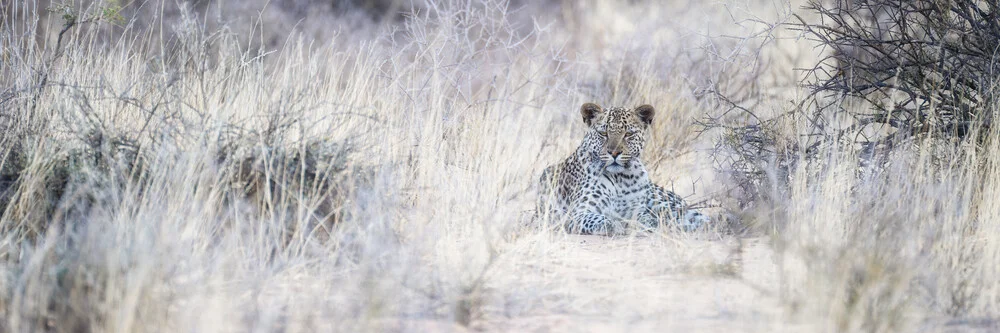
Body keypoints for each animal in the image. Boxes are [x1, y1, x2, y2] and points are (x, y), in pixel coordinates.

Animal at [536, 102, 708, 235]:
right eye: (603, 133)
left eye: (628, 134)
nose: (614, 153)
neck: (620, 179)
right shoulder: (578, 213)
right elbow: (601, 219)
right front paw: (617, 225)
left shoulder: (638, 209)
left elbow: (646, 218)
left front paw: (647, 224)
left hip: (663, 201)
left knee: (697, 216)